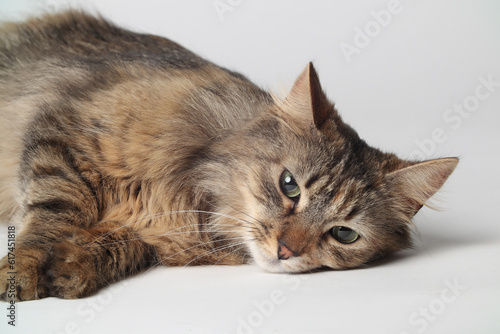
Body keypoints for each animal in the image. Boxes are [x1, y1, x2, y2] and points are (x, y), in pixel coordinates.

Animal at [0, 11, 458, 302]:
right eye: (289, 186)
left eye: (344, 234)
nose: (285, 251)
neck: (197, 208)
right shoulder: (65, 133)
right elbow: (51, 217)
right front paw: (23, 272)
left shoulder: (149, 236)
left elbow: (114, 244)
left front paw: (72, 268)